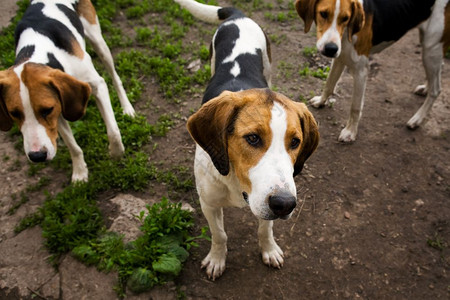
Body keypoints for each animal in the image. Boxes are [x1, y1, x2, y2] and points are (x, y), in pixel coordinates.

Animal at [0, 0, 135, 182]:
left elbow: (113, 132)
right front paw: (80, 172)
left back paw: (127, 108)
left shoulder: (96, 86)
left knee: (115, 77)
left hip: (98, 42)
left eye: (46, 110)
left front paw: (116, 153)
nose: (37, 156)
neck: (40, 51)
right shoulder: (58, 110)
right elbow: (74, 147)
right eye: (14, 113)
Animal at [175, 0, 320, 282]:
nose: (285, 204)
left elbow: (265, 229)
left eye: (295, 142)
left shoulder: (268, 205)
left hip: (268, 64)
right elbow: (219, 234)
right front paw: (217, 259)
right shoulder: (208, 203)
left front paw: (269, 250)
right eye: (252, 138)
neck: (236, 182)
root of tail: (239, 16)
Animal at [296, 0, 450, 142]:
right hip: (429, 48)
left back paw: (417, 118)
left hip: (431, 48)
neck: (347, 33)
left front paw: (350, 132)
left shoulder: (361, 72)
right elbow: (329, 84)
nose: (330, 49)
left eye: (346, 18)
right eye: (323, 14)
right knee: (437, 71)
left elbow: (355, 106)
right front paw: (321, 101)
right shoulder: (339, 59)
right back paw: (425, 88)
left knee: (436, 90)